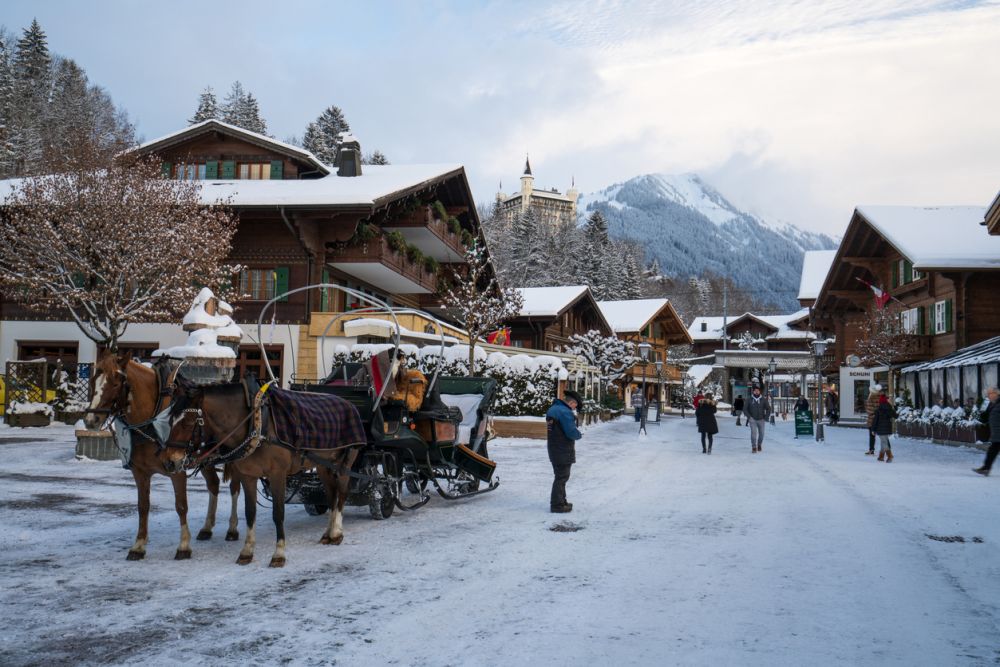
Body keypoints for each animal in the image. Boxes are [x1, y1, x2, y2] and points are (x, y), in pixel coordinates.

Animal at [85, 352, 241, 560]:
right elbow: (143, 506)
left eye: (116, 383)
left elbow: (181, 505)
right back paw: (207, 527)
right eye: (93, 381)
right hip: (206, 458)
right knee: (213, 484)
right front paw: (139, 545)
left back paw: (232, 528)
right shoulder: (140, 472)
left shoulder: (177, 467)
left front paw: (183, 545)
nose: (91, 420)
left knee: (234, 488)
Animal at [164, 380, 364, 568]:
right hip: (323, 466)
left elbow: (278, 513)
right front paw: (247, 551)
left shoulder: (277, 475)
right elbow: (250, 512)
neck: (257, 423)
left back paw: (337, 532)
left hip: (345, 462)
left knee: (342, 493)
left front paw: (279, 554)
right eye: (170, 421)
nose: (170, 462)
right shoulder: (248, 476)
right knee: (331, 495)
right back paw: (328, 533)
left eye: (188, 423)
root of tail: (349, 403)